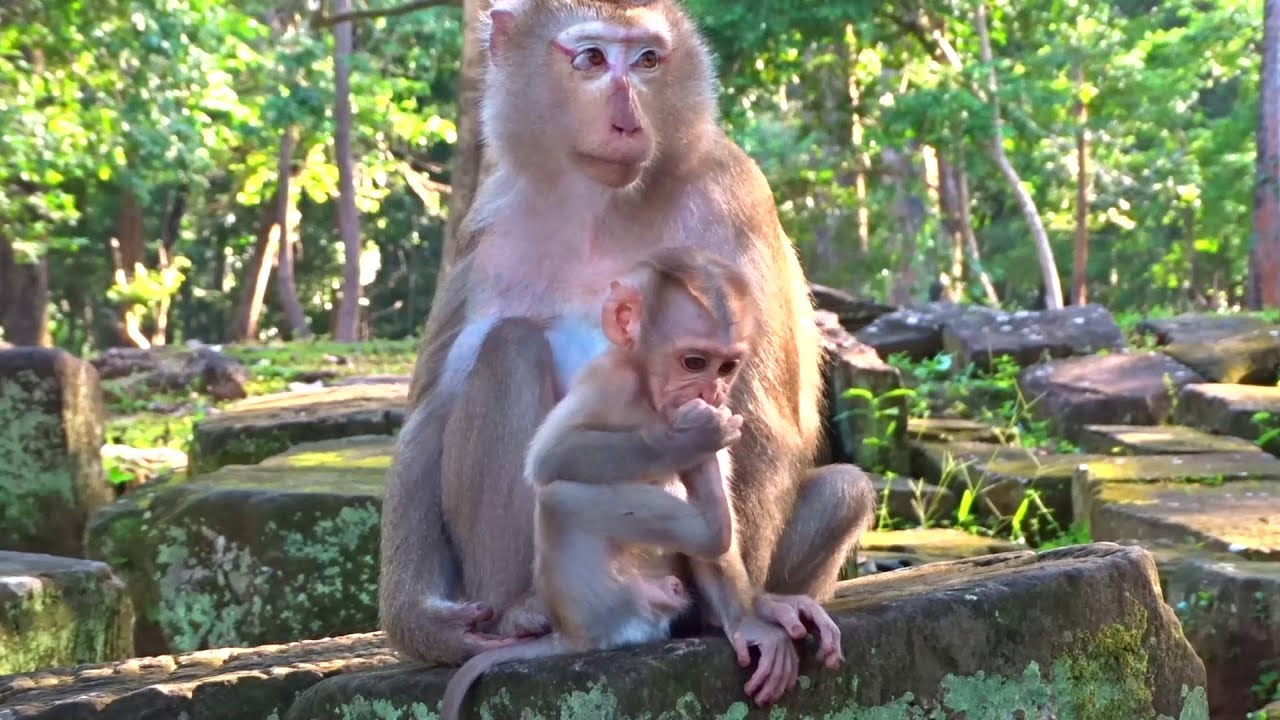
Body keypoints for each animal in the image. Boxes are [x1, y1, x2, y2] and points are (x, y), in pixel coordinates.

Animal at [440, 250, 762, 720]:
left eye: (727, 367)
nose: (711, 390)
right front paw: (689, 439)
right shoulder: (611, 381)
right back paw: (710, 526)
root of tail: (570, 637)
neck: (648, 396)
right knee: (558, 496)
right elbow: (552, 455)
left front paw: (751, 627)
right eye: (694, 362)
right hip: (598, 601)